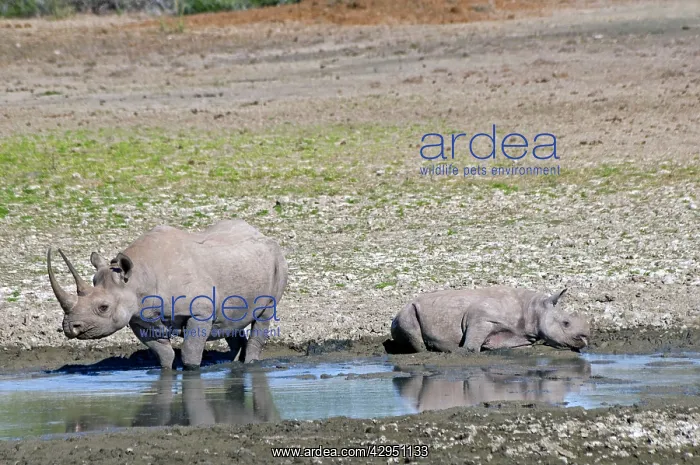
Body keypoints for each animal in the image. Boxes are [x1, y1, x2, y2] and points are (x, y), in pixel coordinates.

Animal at [47, 219, 288, 369]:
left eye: (103, 307)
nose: (69, 328)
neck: (136, 278)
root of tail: (260, 232)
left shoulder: (200, 312)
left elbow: (190, 352)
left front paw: (191, 370)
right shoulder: (139, 318)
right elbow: (164, 353)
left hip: (278, 259)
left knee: (264, 314)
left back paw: (250, 364)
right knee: (230, 319)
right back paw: (234, 363)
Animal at [388, 286, 590, 354]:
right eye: (566, 323)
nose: (585, 339)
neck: (534, 309)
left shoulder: (519, 334)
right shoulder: (480, 317)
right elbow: (471, 346)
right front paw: (468, 349)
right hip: (405, 311)